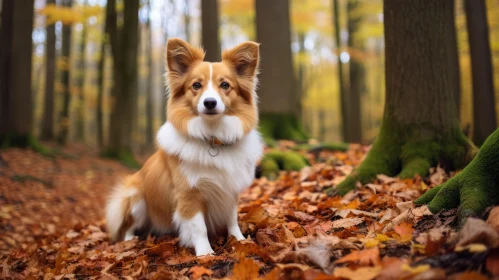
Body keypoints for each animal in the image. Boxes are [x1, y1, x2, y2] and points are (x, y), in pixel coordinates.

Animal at [104, 38, 264, 258]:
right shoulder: (189, 194)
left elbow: (232, 218)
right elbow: (199, 226)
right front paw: (205, 253)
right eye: (196, 85)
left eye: (225, 85)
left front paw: (239, 240)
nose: (210, 102)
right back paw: (130, 241)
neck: (212, 138)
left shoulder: (229, 189)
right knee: (128, 226)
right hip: (136, 197)